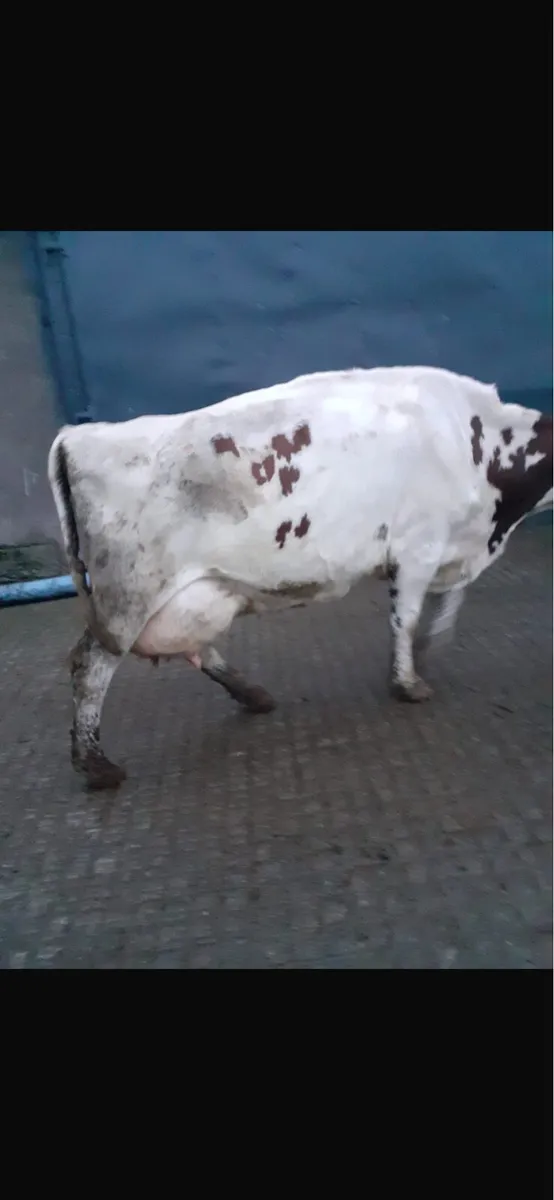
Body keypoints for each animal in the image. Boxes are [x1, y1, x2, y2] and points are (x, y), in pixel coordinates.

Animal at [47, 366, 553, 790]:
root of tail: (77, 436)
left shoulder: (452, 549)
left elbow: (446, 606)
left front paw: (424, 655)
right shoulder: (418, 546)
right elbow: (407, 619)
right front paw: (407, 683)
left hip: (195, 590)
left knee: (192, 643)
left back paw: (252, 694)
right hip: (128, 591)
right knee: (90, 665)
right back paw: (96, 764)